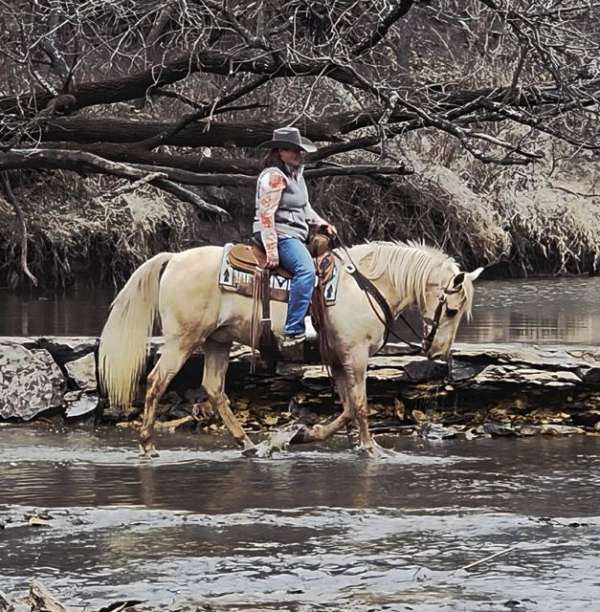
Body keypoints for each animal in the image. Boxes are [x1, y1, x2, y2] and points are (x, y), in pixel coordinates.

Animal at [98, 241, 482, 456]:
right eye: (451, 310)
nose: (439, 356)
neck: (367, 286)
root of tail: (174, 258)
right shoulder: (356, 356)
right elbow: (360, 405)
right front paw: (371, 448)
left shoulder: (340, 359)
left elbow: (346, 407)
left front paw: (307, 435)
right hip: (183, 340)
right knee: (156, 382)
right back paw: (148, 444)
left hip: (217, 341)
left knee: (214, 389)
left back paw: (248, 444)